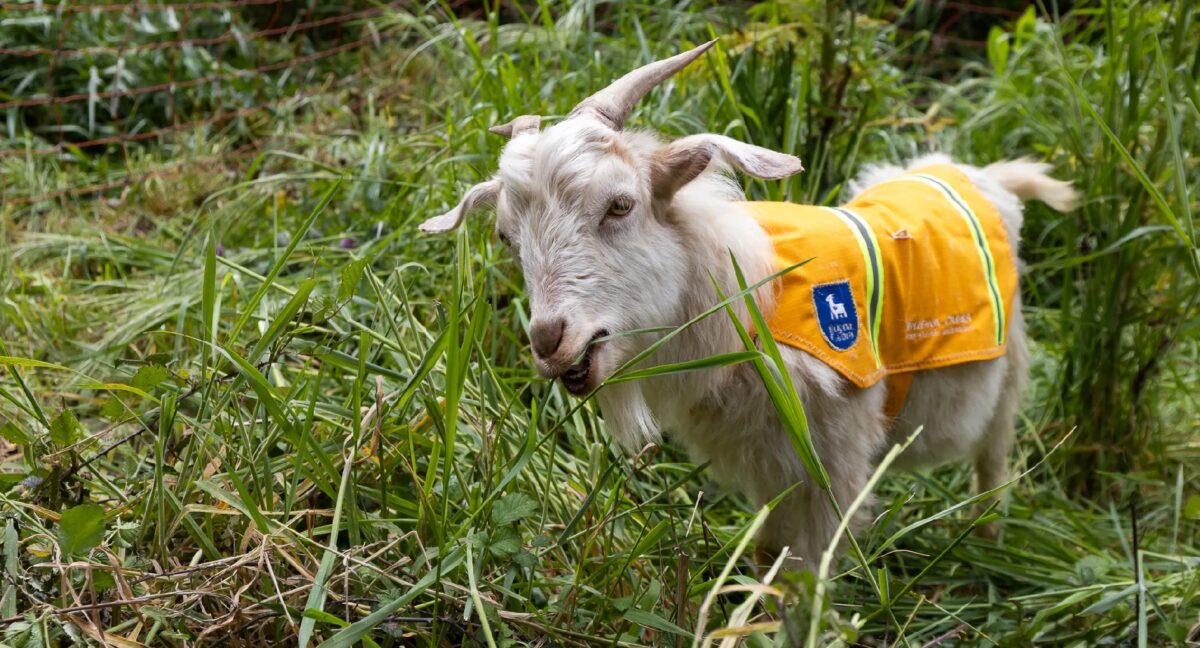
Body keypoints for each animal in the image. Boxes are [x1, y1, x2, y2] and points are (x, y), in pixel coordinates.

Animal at [420, 40, 1078, 569]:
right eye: (506, 236)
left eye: (620, 205)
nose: (550, 340)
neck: (753, 298)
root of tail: (973, 173)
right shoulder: (770, 468)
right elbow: (768, 556)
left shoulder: (831, 470)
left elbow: (802, 579)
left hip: (1008, 369)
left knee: (994, 457)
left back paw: (988, 537)